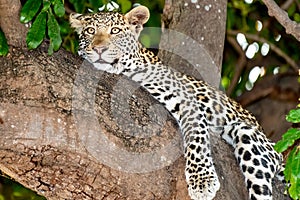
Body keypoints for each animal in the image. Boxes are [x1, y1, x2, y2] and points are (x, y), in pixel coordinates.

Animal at [69, 5, 284, 199]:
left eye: (115, 31)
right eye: (90, 31)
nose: (99, 49)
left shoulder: (186, 98)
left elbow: (197, 138)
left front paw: (202, 181)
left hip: (249, 136)